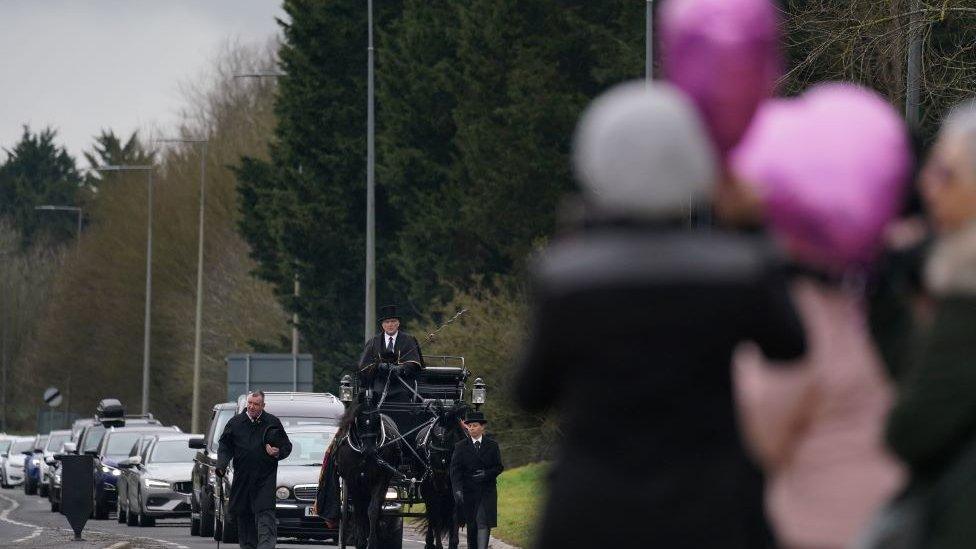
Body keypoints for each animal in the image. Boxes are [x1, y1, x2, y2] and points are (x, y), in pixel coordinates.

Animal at [416, 400, 468, 548]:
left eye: (450, 452)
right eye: (430, 452)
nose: (439, 484)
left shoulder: (457, 497)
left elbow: (454, 522)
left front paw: (453, 543)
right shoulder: (432, 496)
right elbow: (437, 521)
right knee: (432, 518)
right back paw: (429, 542)